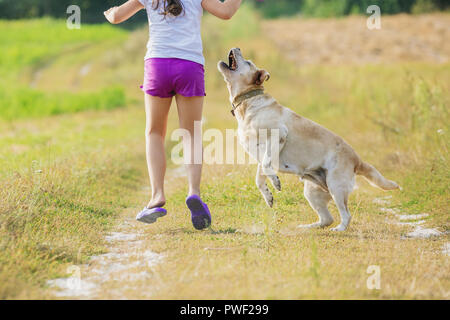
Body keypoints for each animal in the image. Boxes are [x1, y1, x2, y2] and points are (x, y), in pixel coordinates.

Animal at [218, 48, 400, 231]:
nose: (237, 48)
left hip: (336, 186)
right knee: (327, 218)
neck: (248, 102)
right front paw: (268, 196)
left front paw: (276, 182)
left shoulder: (279, 135)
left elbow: (266, 165)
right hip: (313, 192)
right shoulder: (259, 154)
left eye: (248, 62)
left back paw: (339, 229)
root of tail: (357, 159)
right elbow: (259, 177)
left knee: (346, 215)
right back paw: (308, 227)